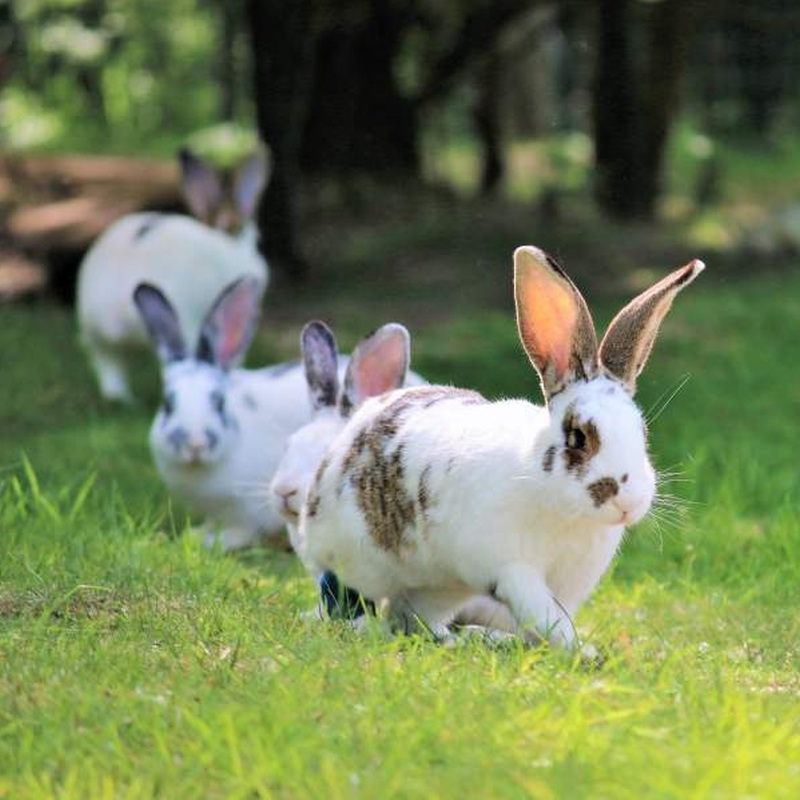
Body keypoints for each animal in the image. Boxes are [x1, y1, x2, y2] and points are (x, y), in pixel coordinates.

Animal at [134, 274, 312, 552]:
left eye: (218, 403)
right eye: (167, 404)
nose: (196, 443)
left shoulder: (252, 510)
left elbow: (244, 532)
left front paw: (210, 540)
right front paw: (196, 534)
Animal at [296, 247, 704, 648]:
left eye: (642, 433)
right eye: (577, 437)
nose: (628, 503)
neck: (562, 508)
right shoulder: (512, 570)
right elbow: (546, 616)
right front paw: (582, 652)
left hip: (440, 586)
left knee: (408, 618)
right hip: (350, 560)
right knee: (344, 599)